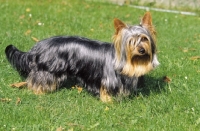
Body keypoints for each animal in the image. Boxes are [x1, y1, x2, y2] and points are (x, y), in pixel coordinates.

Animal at [5, 11, 159, 102]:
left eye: (144, 39)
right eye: (130, 41)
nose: (141, 50)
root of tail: (37, 47)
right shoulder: (108, 80)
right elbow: (106, 91)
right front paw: (108, 101)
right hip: (47, 70)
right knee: (38, 80)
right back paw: (39, 91)